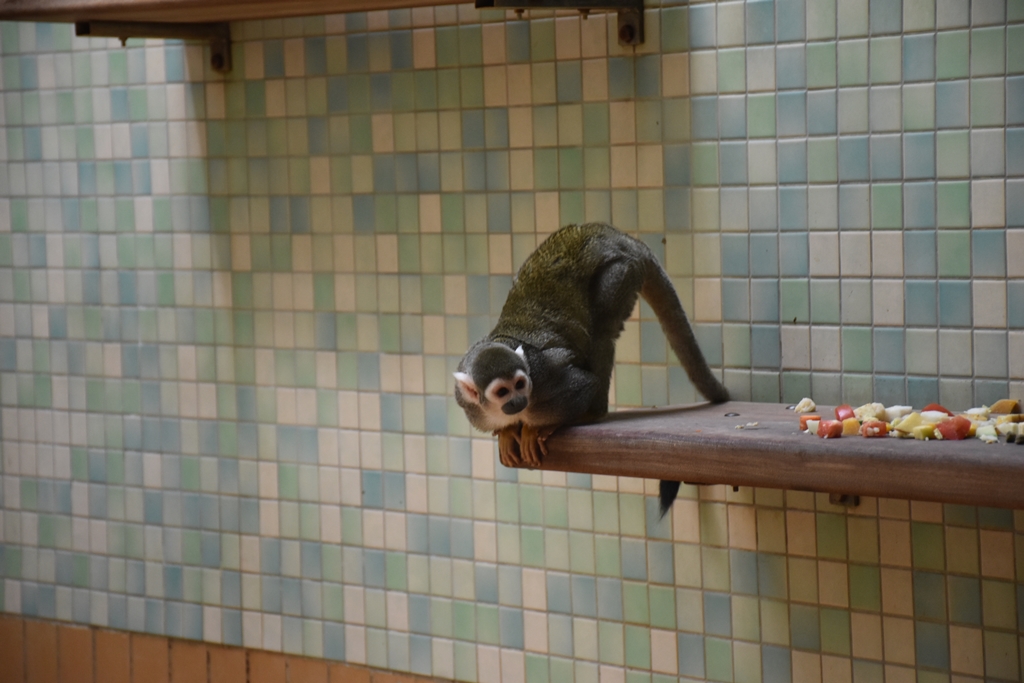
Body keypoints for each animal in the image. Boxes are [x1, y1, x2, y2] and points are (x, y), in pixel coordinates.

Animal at [453, 222, 730, 516]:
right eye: (502, 392)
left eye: (519, 385)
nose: (518, 402)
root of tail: (617, 236)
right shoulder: (468, 404)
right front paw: (507, 432)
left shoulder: (544, 378)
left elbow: (583, 382)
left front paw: (539, 428)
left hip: (620, 270)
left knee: (603, 334)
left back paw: (591, 413)